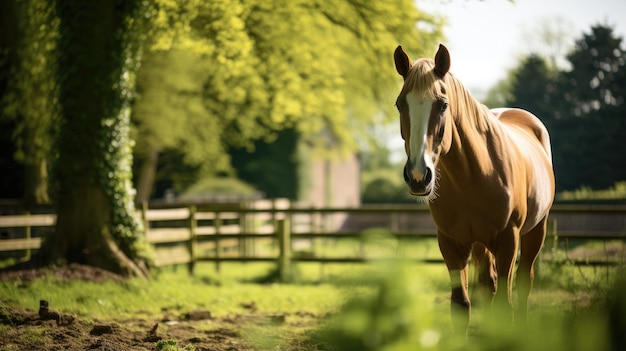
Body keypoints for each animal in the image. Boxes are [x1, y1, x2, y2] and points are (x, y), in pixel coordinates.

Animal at [392, 44, 552, 332]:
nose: (418, 176)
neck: (474, 176)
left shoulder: (508, 240)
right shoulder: (451, 244)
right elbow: (461, 305)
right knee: (488, 284)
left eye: (443, 104)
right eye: (400, 104)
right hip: (480, 244)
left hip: (536, 230)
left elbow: (505, 305)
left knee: (524, 282)